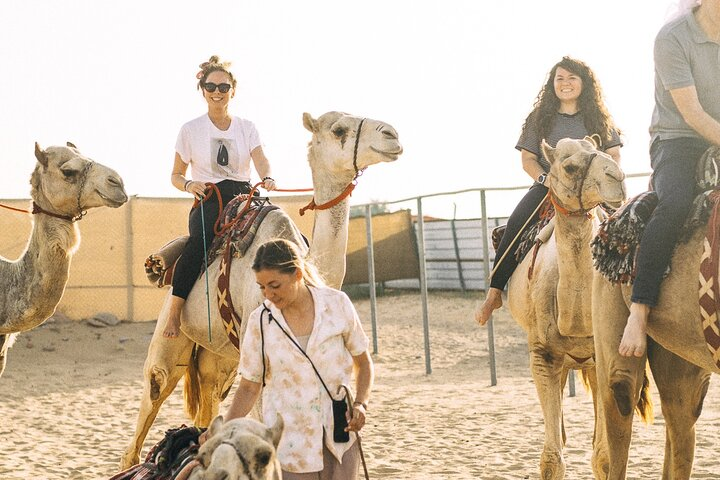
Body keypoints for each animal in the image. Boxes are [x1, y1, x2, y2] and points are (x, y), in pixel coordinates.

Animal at [120, 111, 402, 468]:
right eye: (339, 129)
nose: (392, 135)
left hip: (220, 358)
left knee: (210, 403)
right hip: (172, 338)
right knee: (152, 393)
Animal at [476, 137, 641, 479]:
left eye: (603, 152)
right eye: (569, 167)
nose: (617, 177)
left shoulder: (603, 358)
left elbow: (604, 458)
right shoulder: (543, 355)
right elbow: (552, 459)